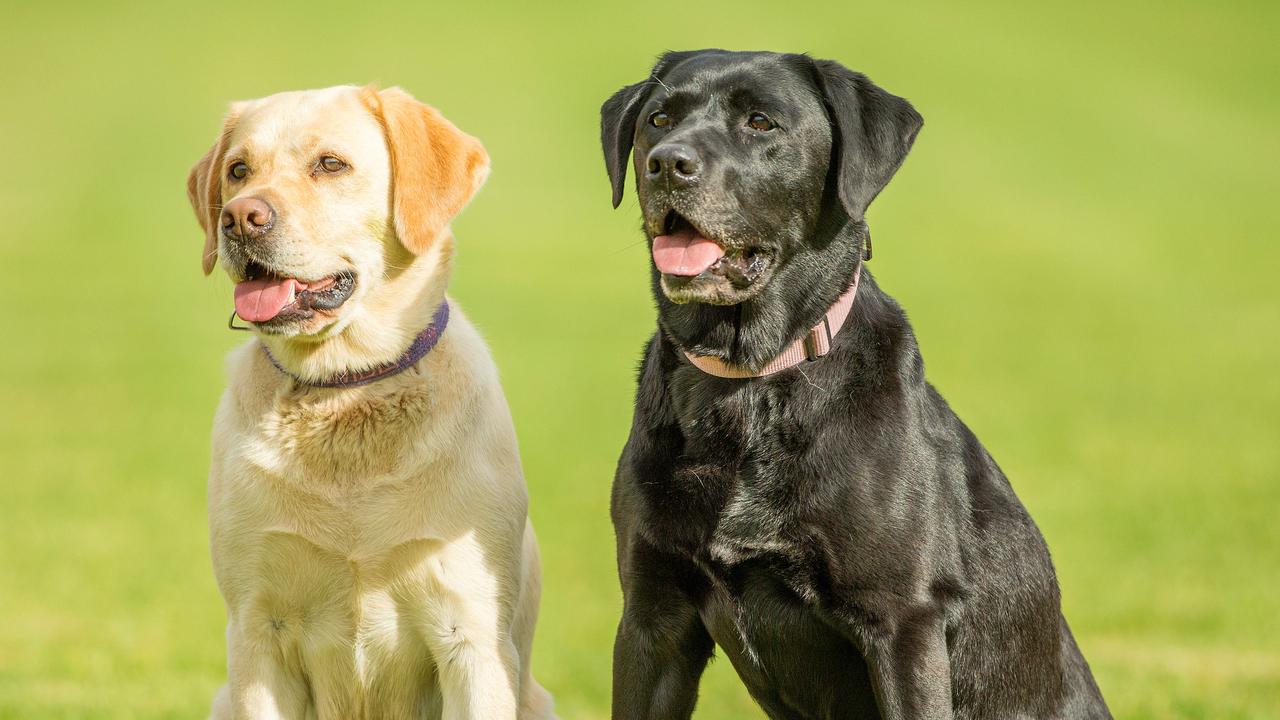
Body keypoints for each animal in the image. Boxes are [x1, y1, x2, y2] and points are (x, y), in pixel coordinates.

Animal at [186, 85, 555, 717]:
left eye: (331, 164)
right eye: (237, 171)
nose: (240, 218)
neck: (347, 390)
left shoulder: (472, 636)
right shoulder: (258, 630)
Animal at [599, 47, 1111, 712]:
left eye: (761, 122)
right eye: (658, 119)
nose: (668, 163)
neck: (750, 382)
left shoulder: (903, 623)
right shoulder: (653, 617)